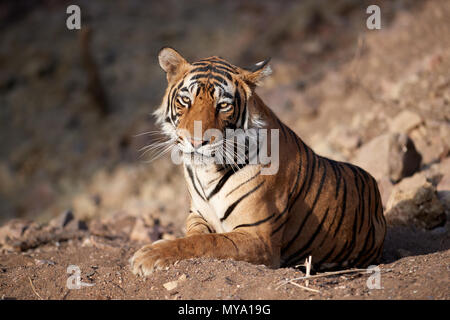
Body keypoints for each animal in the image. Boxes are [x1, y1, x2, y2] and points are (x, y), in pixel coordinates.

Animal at [128, 47, 384, 276]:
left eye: (223, 105)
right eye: (185, 100)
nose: (195, 141)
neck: (207, 171)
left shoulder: (258, 237)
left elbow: (205, 242)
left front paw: (148, 256)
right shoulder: (197, 215)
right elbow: (195, 235)